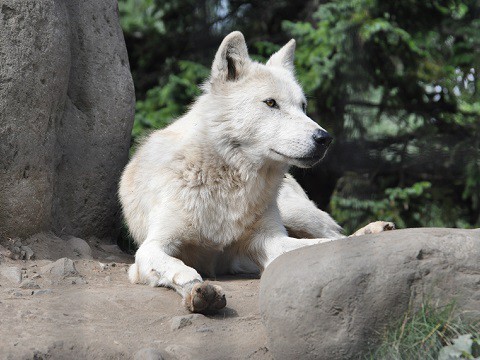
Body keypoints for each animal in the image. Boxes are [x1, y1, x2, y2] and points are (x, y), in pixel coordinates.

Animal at [120, 31, 394, 312]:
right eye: (271, 103)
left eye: (303, 106)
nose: (325, 138)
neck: (229, 179)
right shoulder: (152, 247)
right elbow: (177, 267)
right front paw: (199, 290)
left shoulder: (267, 241)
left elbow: (316, 246)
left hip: (295, 213)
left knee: (336, 234)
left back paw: (375, 231)